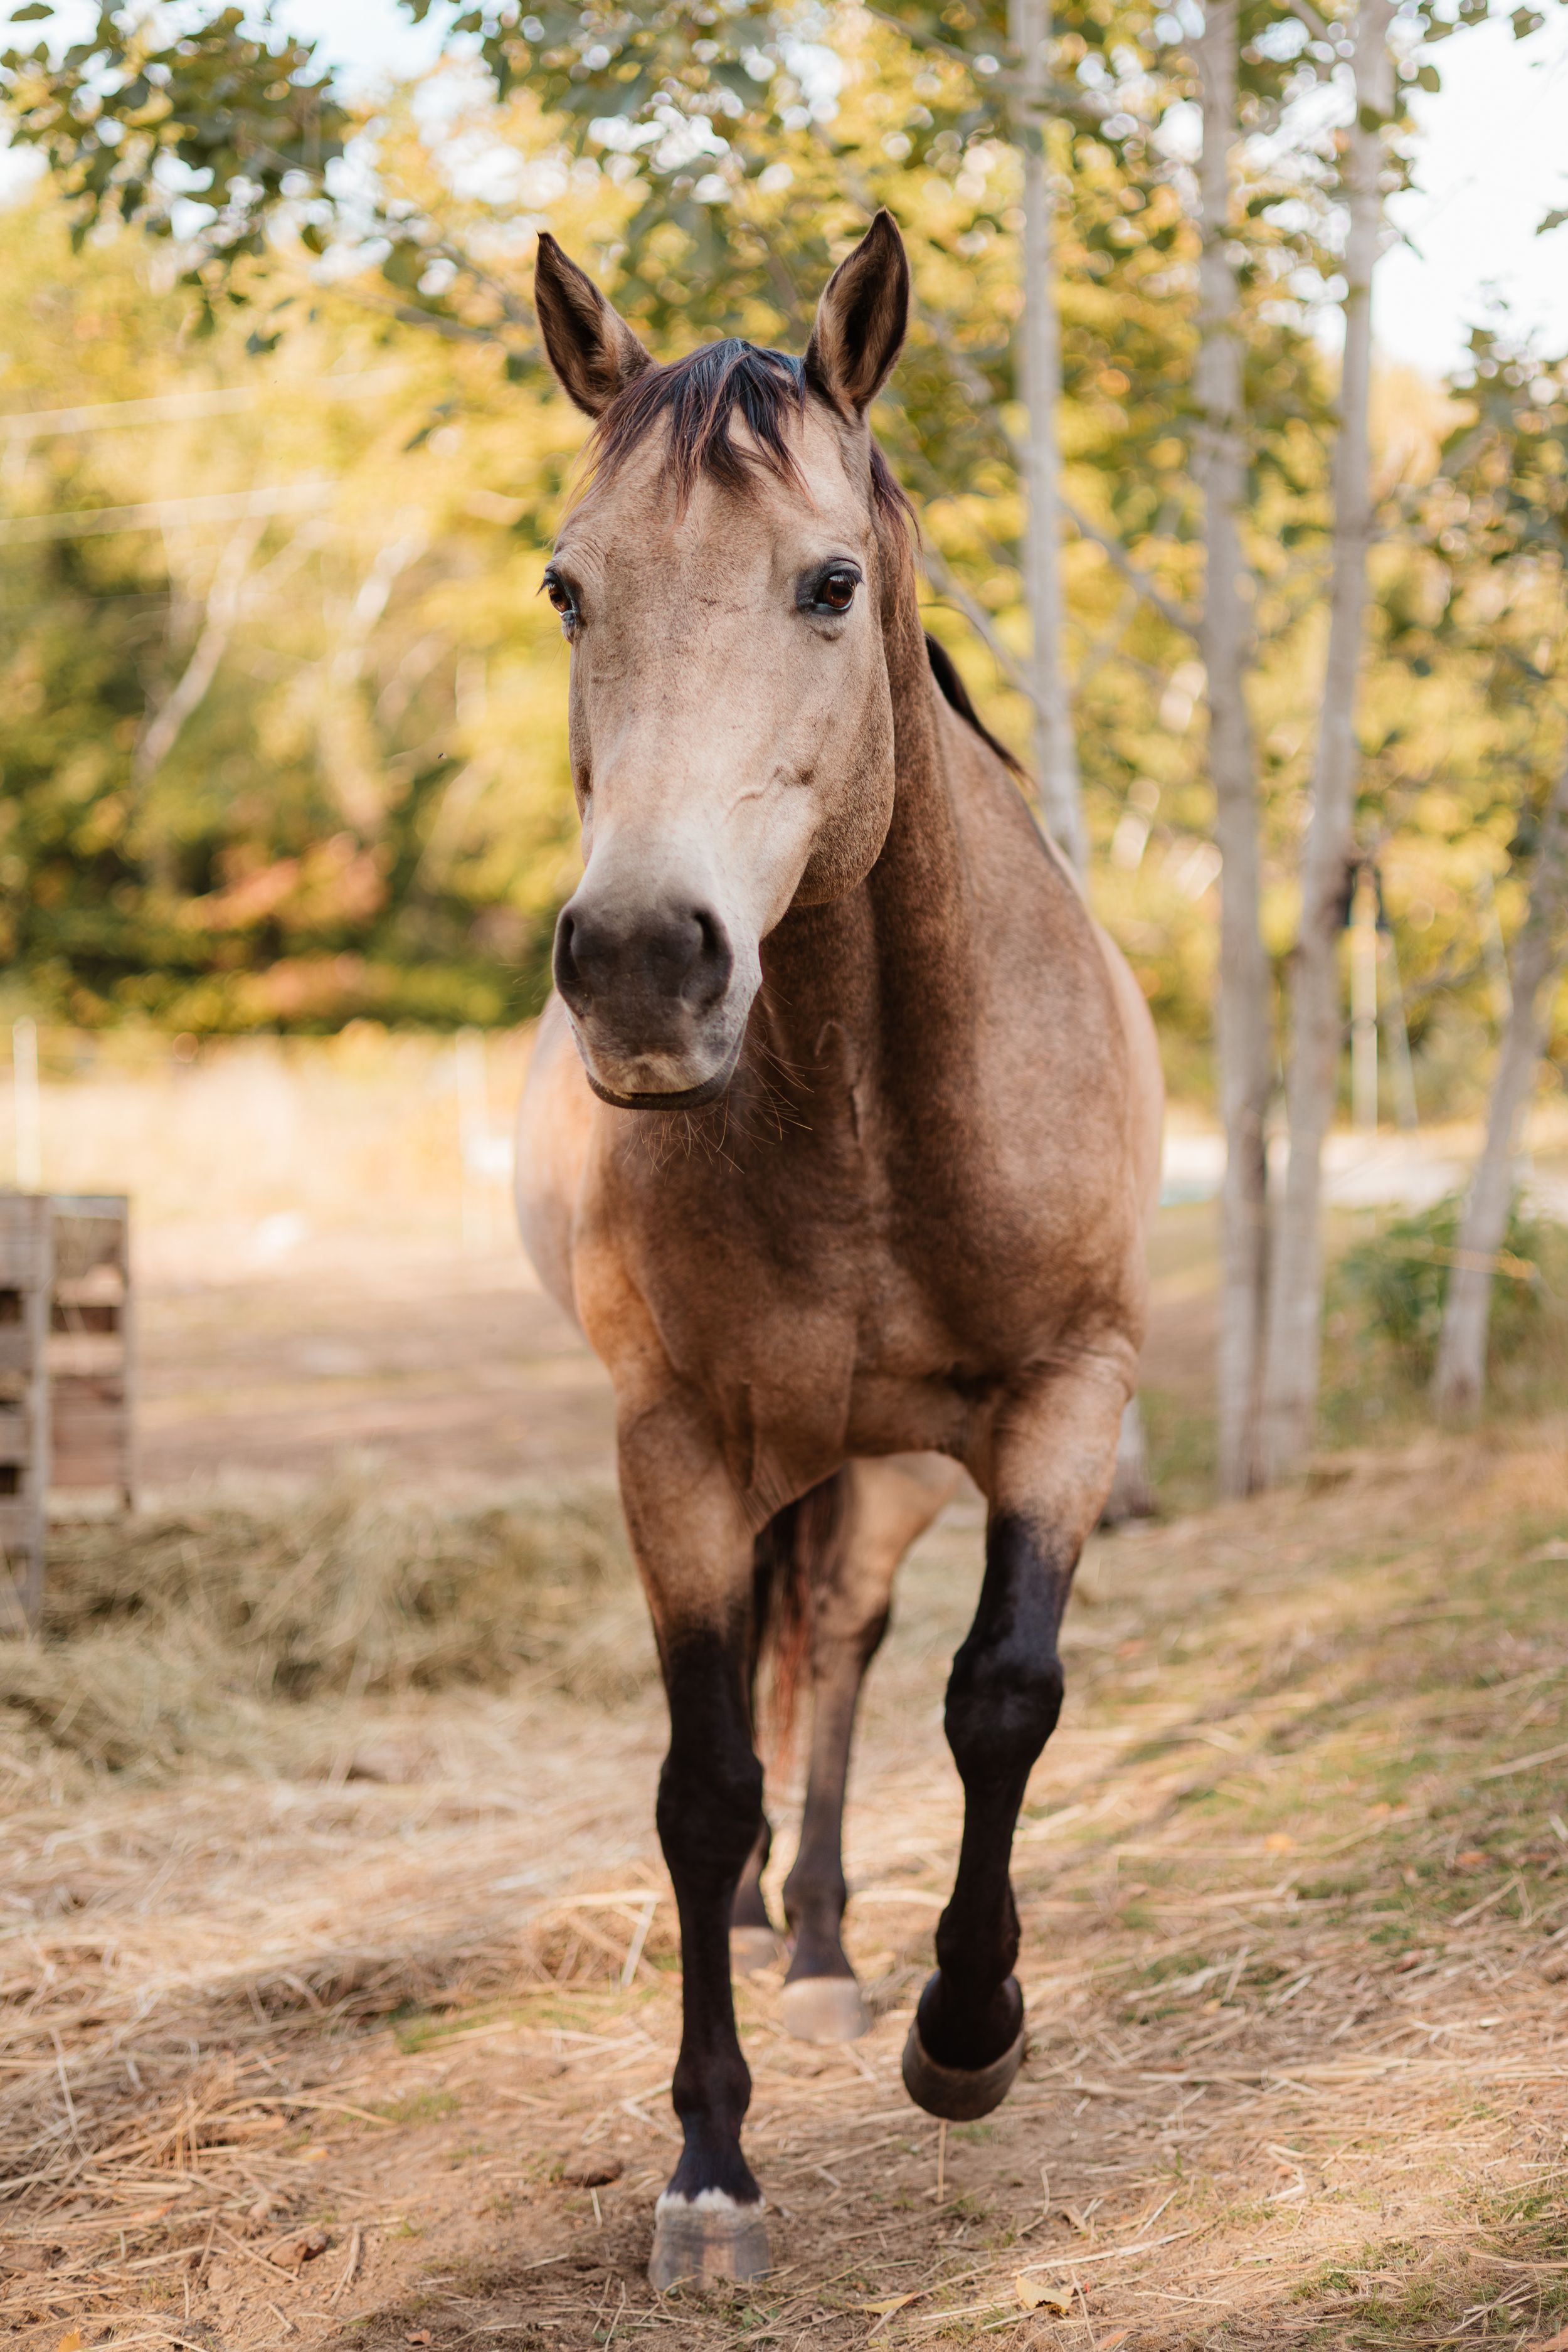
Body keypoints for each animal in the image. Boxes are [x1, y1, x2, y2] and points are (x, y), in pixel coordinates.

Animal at [515, 209, 1163, 2292]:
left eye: (826, 582)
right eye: (568, 586)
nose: (644, 963)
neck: (872, 1103)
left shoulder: (1066, 1394)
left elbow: (999, 1694)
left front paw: (966, 2031)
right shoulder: (671, 1442)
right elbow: (698, 1770)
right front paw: (710, 2165)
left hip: (883, 1466)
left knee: (855, 1648)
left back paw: (817, 1944)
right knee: (777, 1679)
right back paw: (763, 1933)